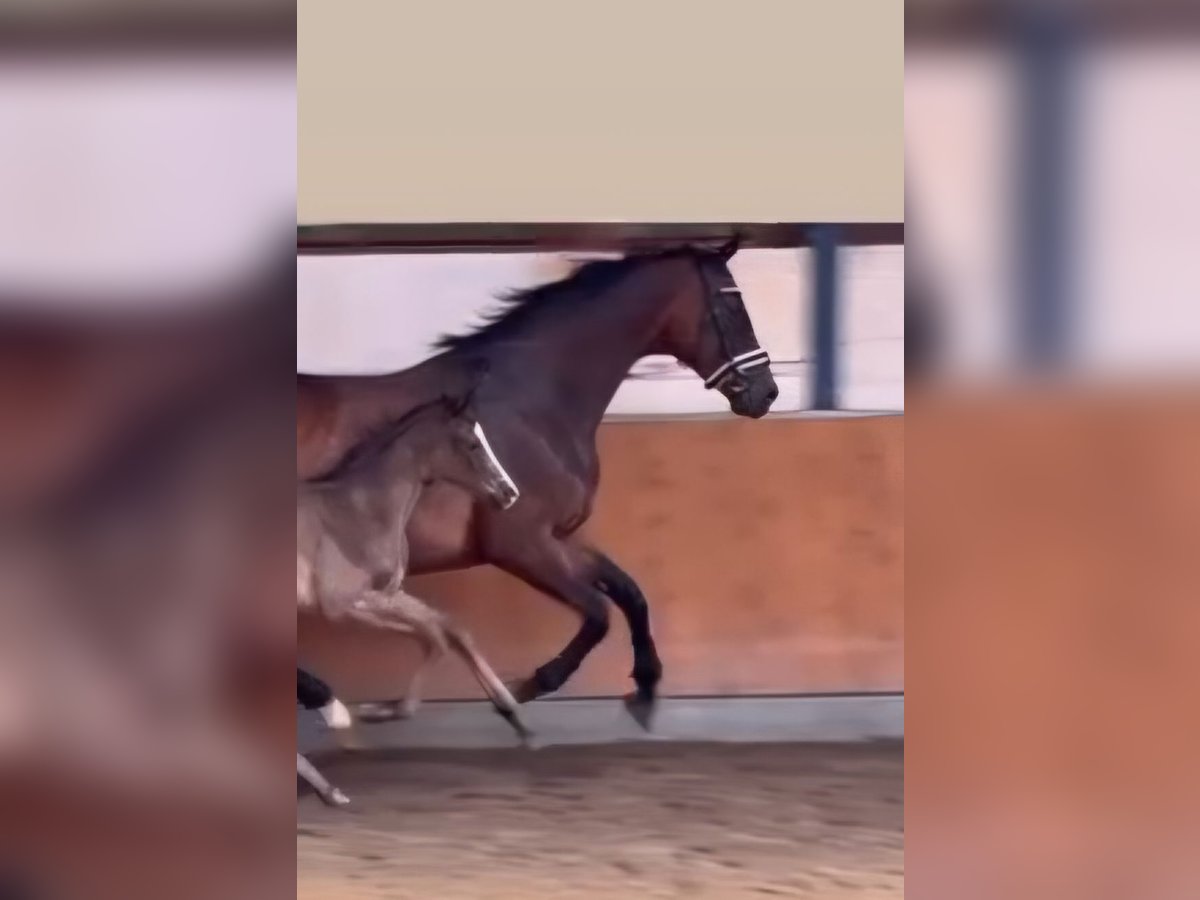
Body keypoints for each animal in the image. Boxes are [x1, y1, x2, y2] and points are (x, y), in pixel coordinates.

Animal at [297, 382, 532, 742]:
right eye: (473, 443)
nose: (510, 493)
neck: (359, 511)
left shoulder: (387, 594)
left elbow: (449, 628)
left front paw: (512, 710)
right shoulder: (344, 602)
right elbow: (434, 633)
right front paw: (387, 710)